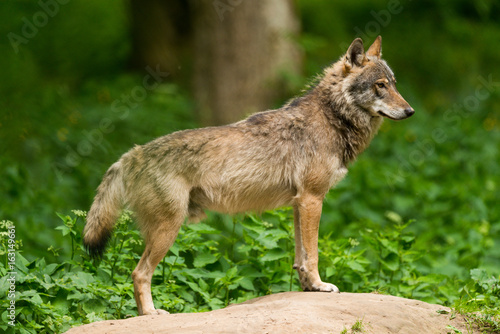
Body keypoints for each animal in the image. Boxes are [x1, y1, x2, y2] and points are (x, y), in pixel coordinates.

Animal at [84, 36, 414, 316]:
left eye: (395, 84)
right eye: (380, 85)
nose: (410, 111)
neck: (333, 117)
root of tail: (131, 155)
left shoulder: (299, 203)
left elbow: (300, 257)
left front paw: (308, 287)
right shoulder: (312, 199)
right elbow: (314, 253)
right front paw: (321, 285)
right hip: (168, 229)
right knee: (139, 273)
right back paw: (151, 314)